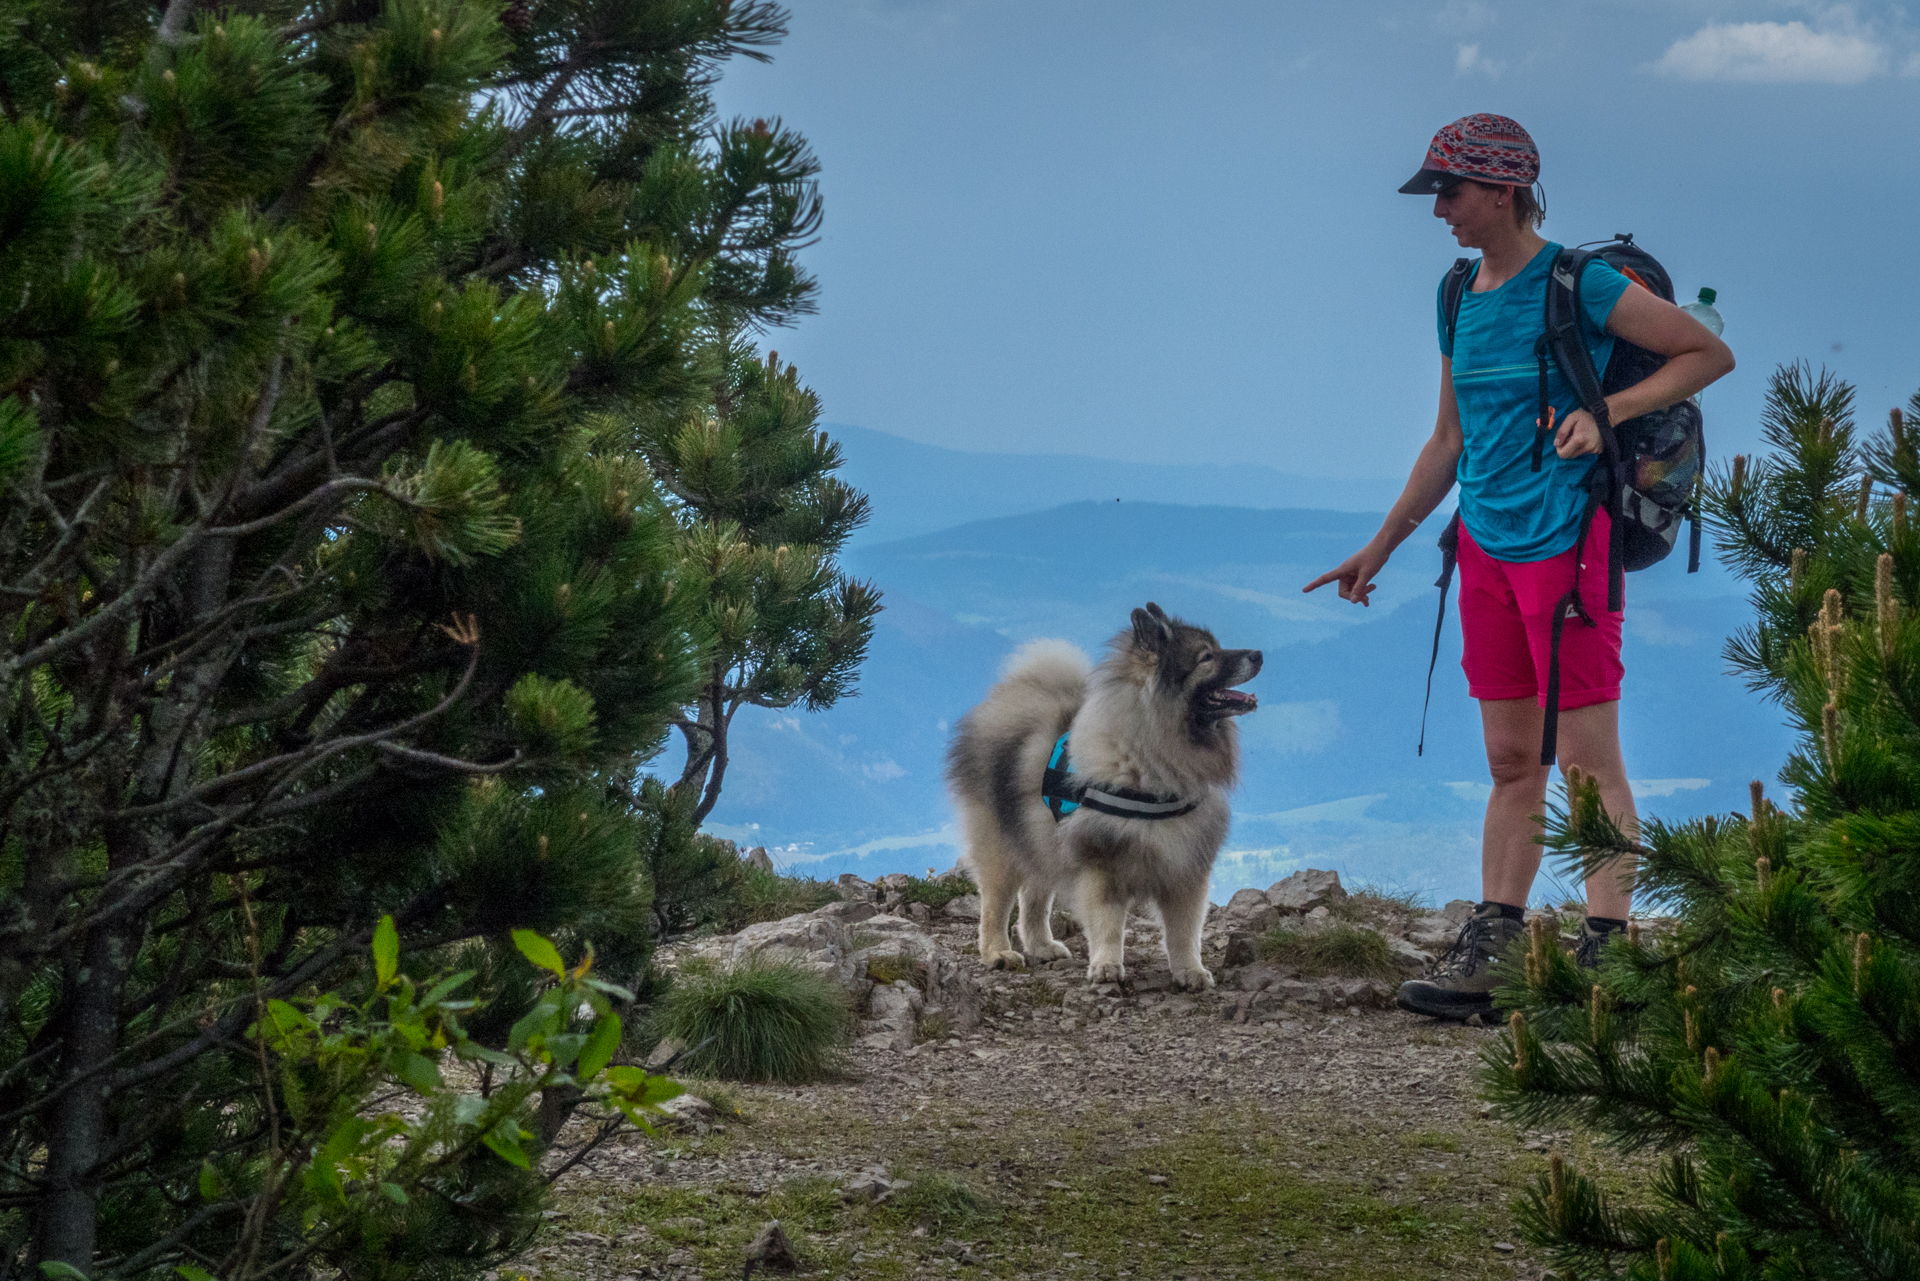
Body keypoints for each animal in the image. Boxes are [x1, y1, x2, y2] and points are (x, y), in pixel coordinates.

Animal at [940, 603, 1259, 990]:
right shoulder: (1102, 863)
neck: (1150, 760)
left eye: (1217, 647)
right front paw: (1106, 967)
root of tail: (1015, 693)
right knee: (995, 906)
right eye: (1206, 657)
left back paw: (1041, 946)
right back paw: (998, 953)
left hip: (1042, 840)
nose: (1259, 655)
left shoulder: (1185, 868)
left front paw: (1190, 972)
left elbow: (1184, 932)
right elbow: (1107, 925)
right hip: (1002, 846)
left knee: (1034, 900)